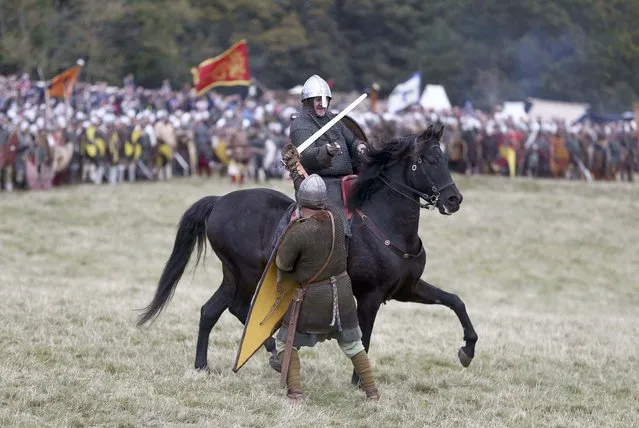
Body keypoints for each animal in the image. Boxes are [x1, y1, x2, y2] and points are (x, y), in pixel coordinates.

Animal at [140, 124, 480, 384]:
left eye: (445, 158)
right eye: (427, 160)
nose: (454, 199)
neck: (385, 221)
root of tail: (219, 202)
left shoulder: (407, 289)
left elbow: (456, 302)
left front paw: (468, 350)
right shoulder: (369, 296)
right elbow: (365, 337)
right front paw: (359, 382)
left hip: (233, 275)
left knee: (211, 311)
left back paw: (204, 365)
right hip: (246, 274)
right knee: (239, 309)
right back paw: (271, 354)